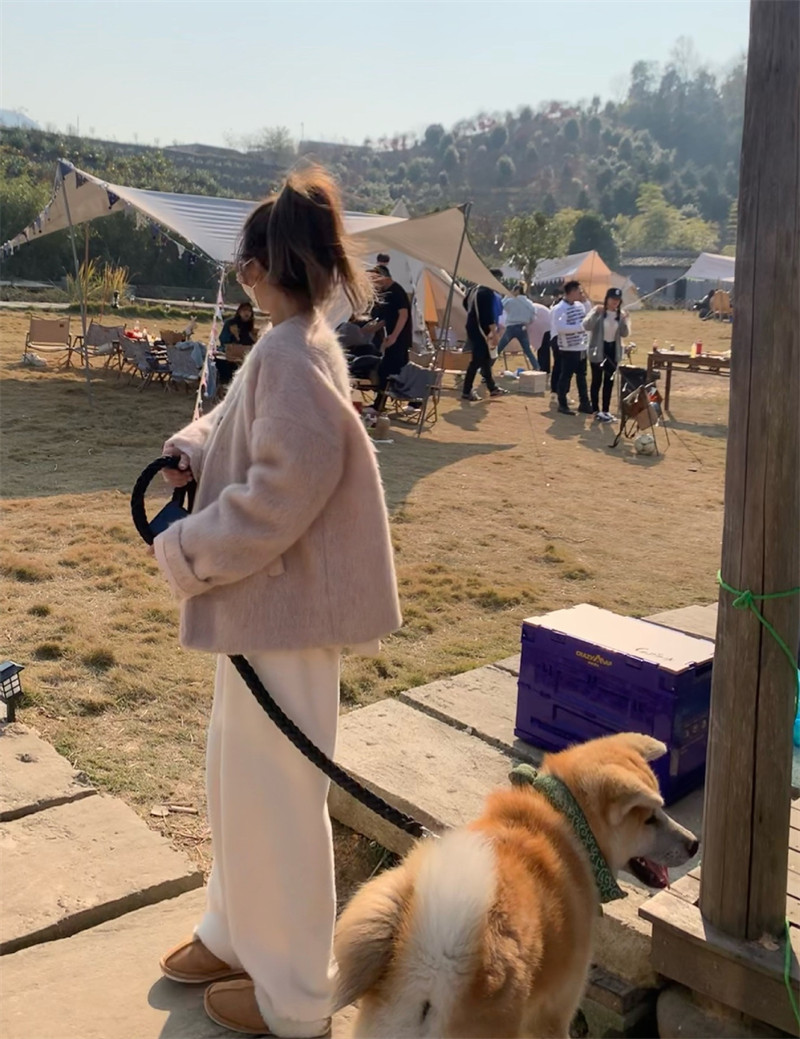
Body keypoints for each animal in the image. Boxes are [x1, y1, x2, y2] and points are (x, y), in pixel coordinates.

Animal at [334, 732, 699, 1038]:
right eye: (649, 818)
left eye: (662, 810)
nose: (695, 844)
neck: (569, 822)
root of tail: (433, 966)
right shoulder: (553, 1013)